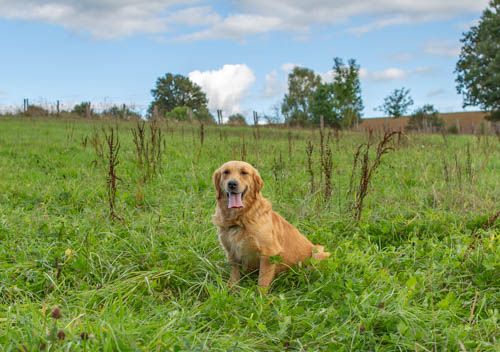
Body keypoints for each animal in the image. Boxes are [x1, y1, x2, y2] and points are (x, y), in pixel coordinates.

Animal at [213, 161, 330, 290]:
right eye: (226, 172)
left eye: (244, 173)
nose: (232, 184)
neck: (240, 218)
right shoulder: (232, 253)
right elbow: (234, 278)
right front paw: (231, 291)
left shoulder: (269, 253)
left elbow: (262, 282)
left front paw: (260, 295)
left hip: (318, 253)